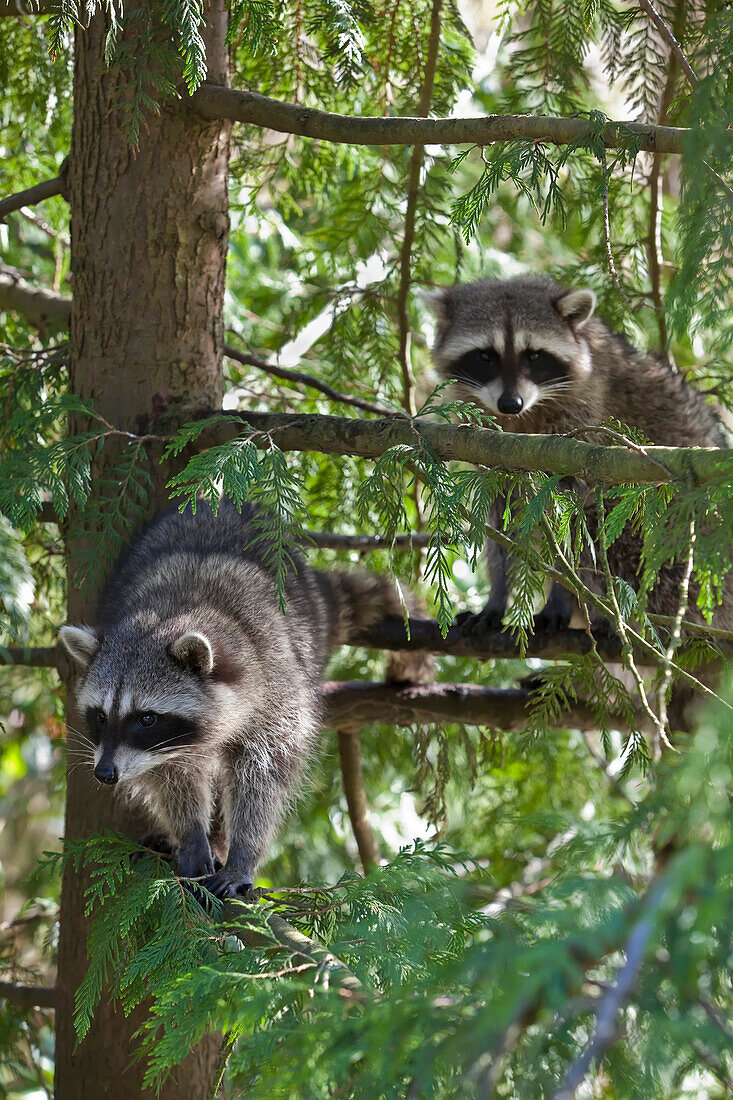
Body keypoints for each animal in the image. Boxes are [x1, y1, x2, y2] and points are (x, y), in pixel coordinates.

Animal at [59, 503, 429, 897]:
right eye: (100, 716)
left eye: (146, 718)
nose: (105, 773)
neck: (176, 611)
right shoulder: (158, 750)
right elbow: (171, 777)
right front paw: (191, 835)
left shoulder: (277, 690)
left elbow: (262, 776)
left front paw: (242, 852)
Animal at [420, 270, 726, 642]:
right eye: (485, 356)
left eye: (534, 356)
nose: (510, 403)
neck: (524, 417)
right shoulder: (491, 450)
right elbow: (501, 526)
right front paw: (497, 597)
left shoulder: (584, 425)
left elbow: (573, 527)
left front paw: (560, 598)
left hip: (672, 549)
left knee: (605, 531)